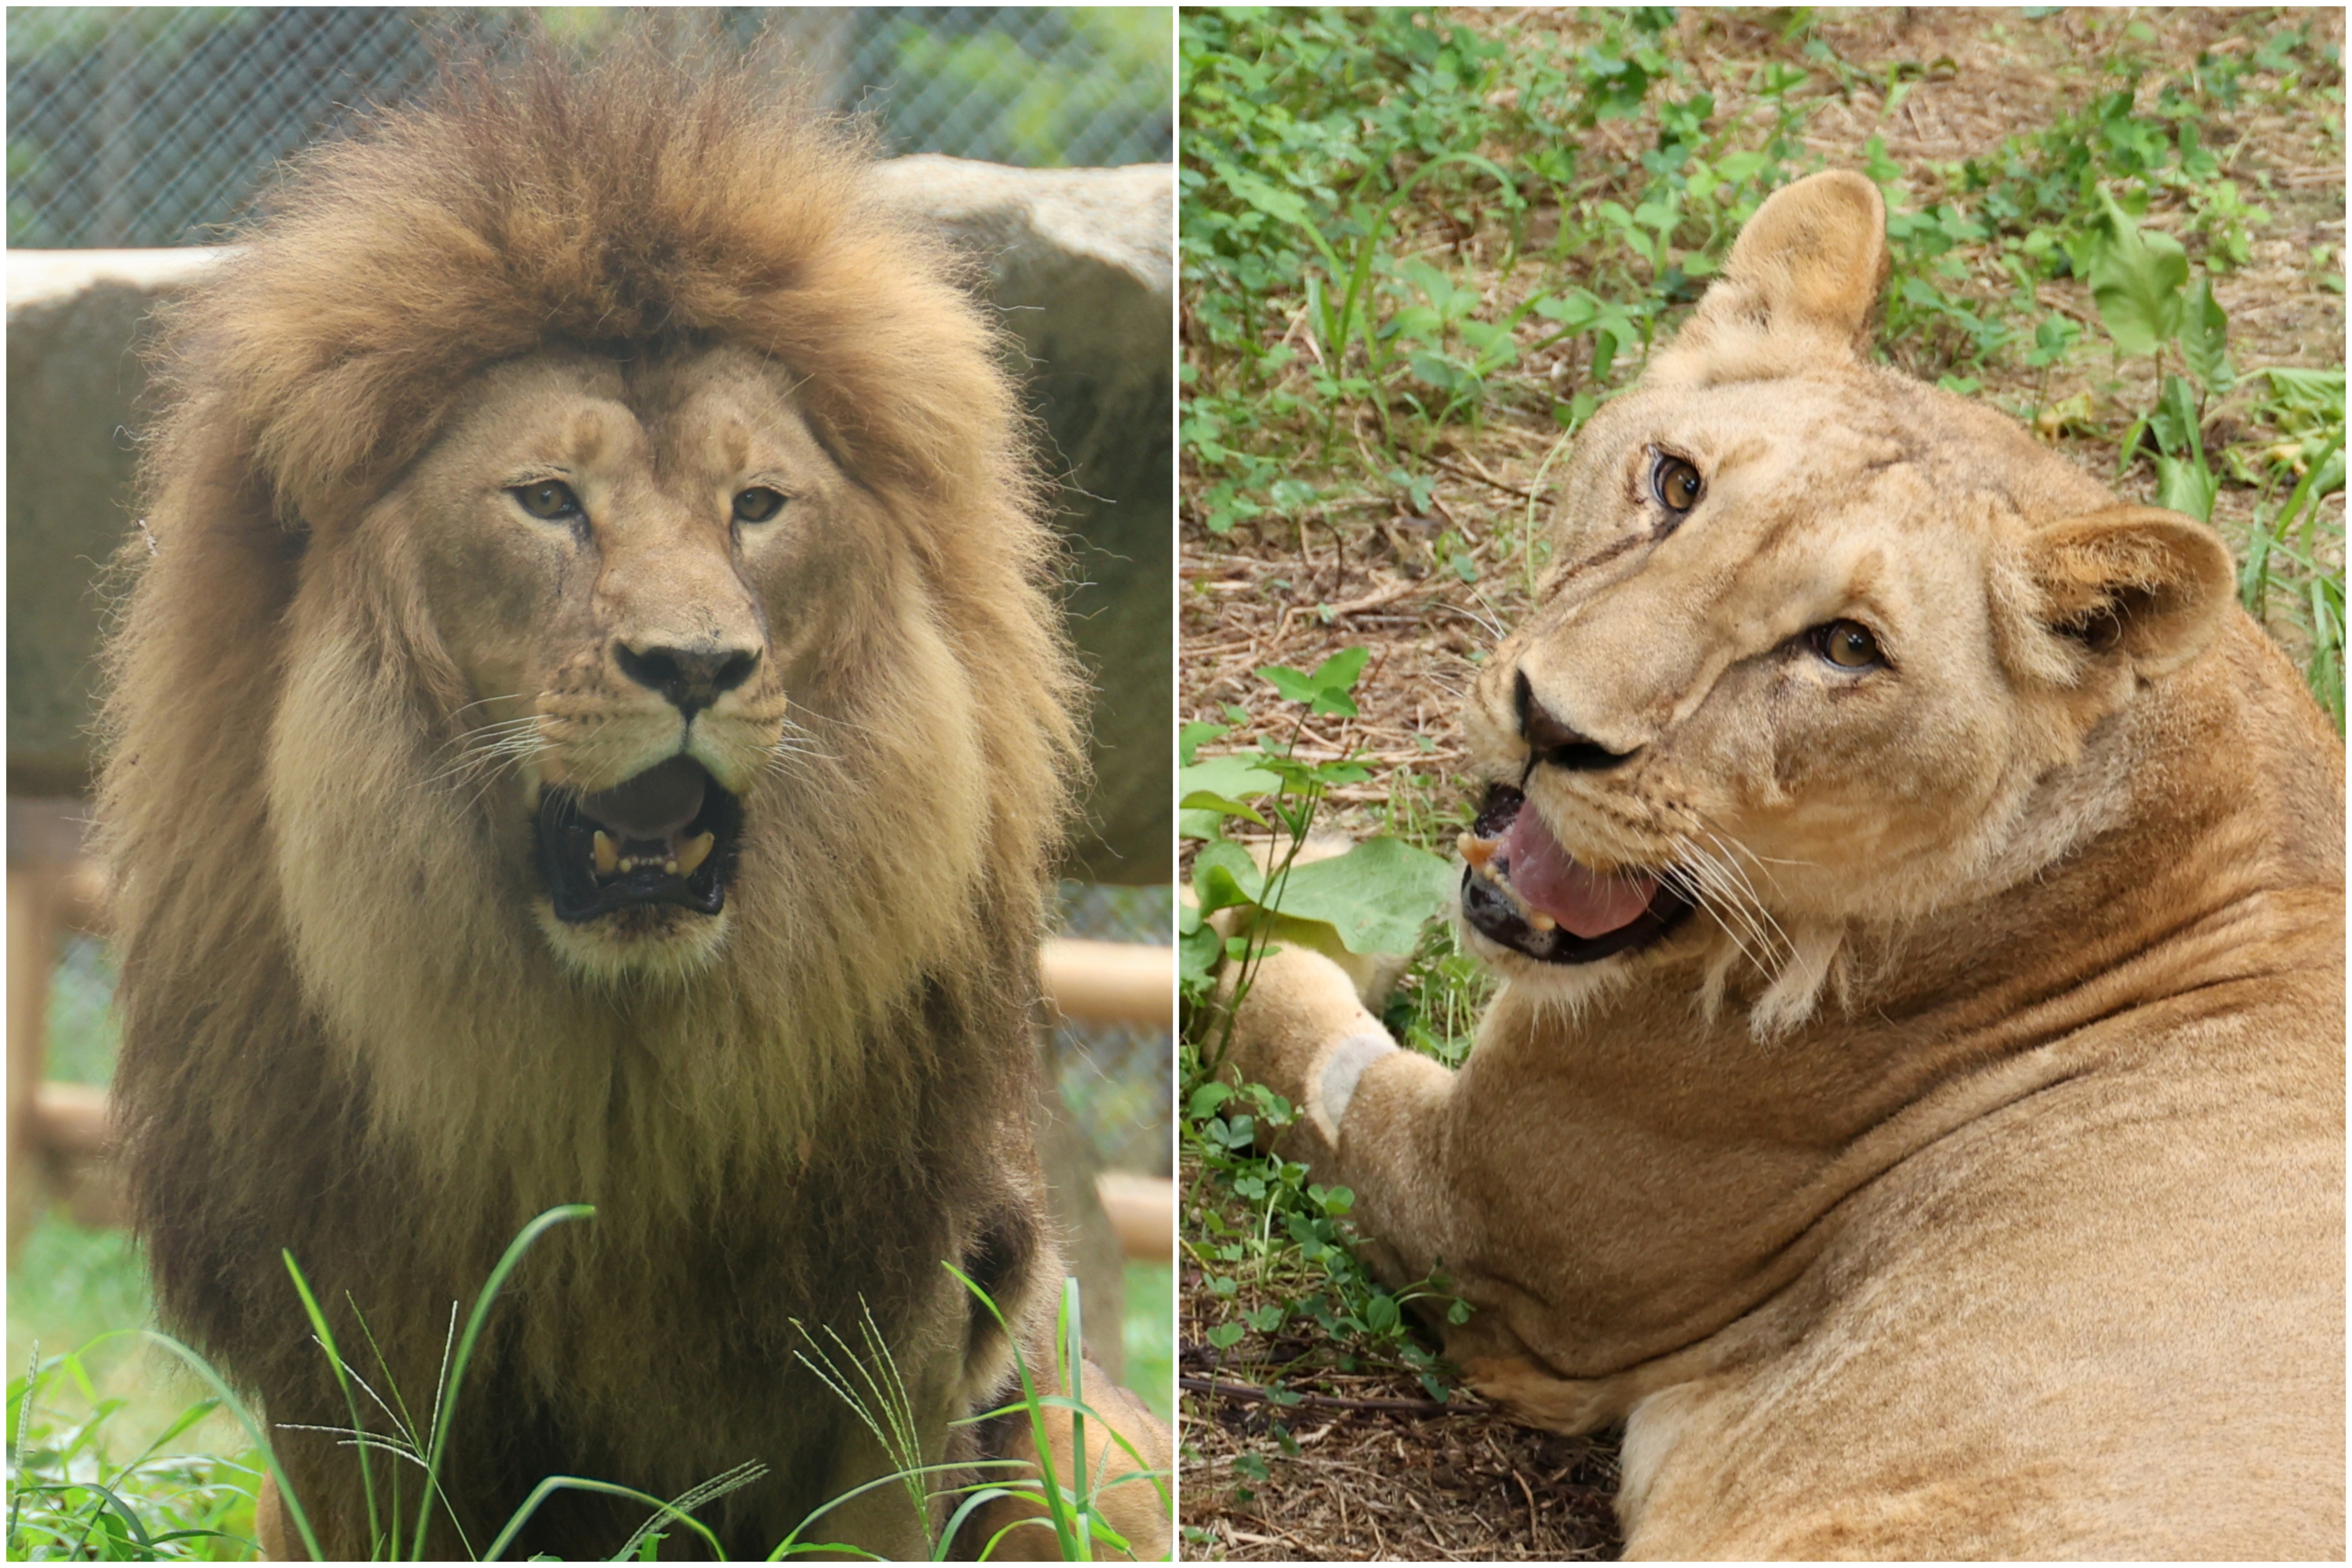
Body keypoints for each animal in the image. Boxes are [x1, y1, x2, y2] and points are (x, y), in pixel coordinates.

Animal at [106, 42, 1171, 1561]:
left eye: (759, 506)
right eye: (549, 499)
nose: (695, 665)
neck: (618, 1076)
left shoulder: (899, 1343)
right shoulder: (348, 1372)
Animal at [1223, 171, 2343, 1561]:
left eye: (1846, 647)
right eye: (1674, 482)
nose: (1550, 723)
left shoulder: (1487, 1235)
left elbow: (1276, 1031)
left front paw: (1256, 892)